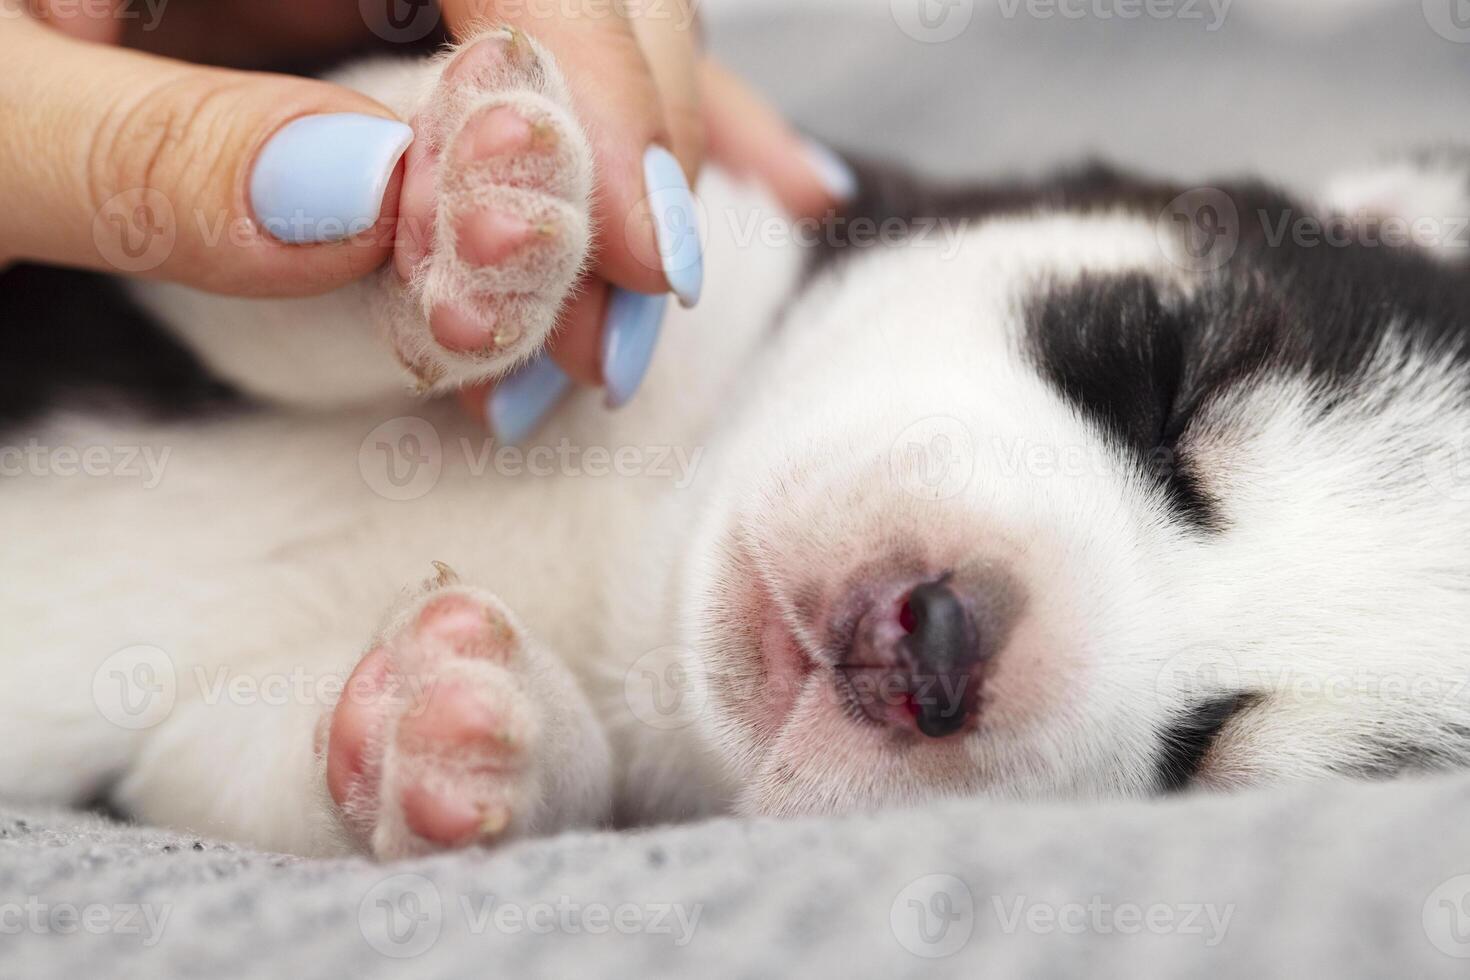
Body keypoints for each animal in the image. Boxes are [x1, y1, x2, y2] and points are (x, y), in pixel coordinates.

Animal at [2, 28, 1470, 858]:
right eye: (1168, 381)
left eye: (1208, 760)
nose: (936, 639)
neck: (633, 567)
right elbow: (273, 236)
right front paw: (480, 196)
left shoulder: (167, 763)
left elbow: (260, 764)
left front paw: (472, 726)